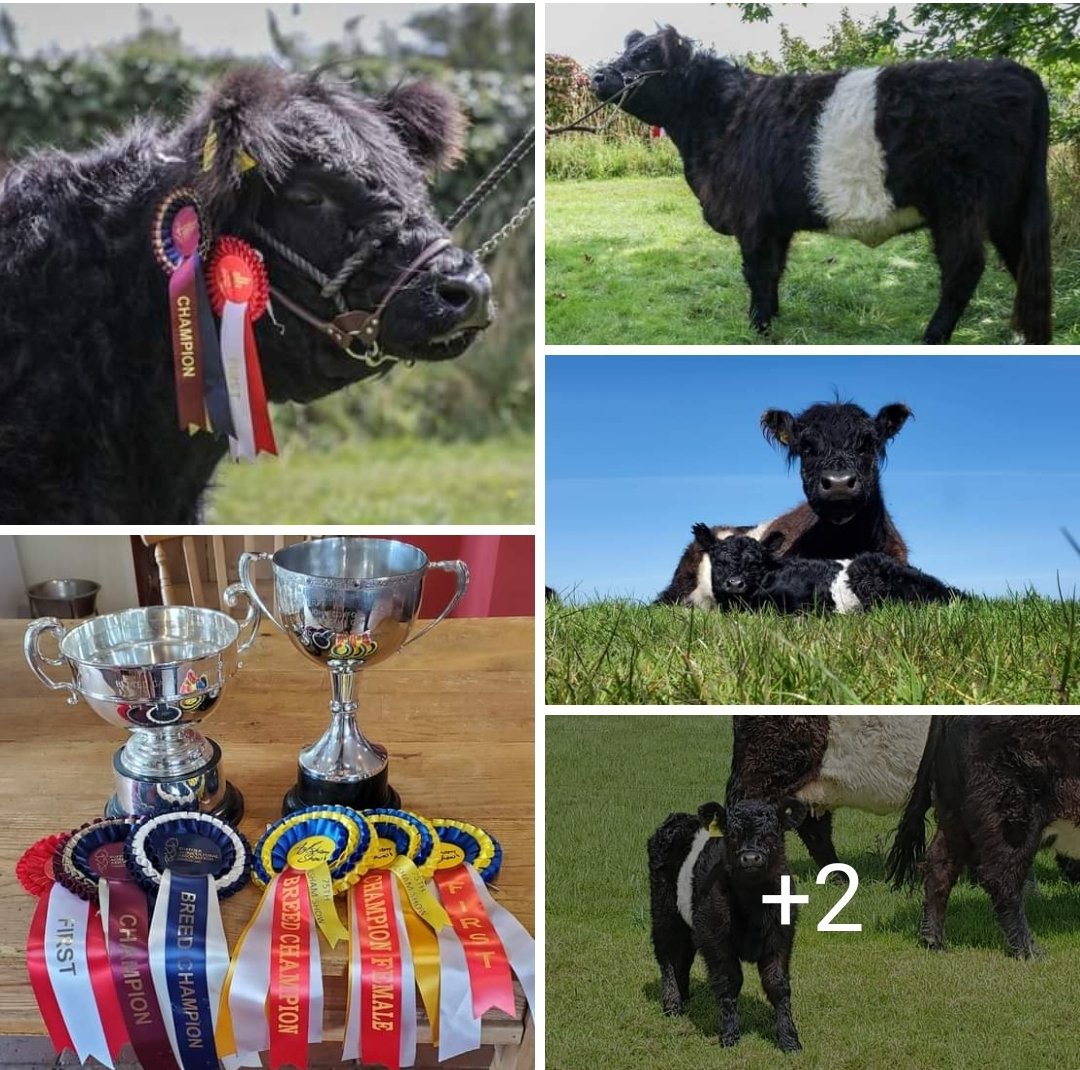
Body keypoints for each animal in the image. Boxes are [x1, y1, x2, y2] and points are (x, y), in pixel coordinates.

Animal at [596, 26, 1049, 343]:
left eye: (646, 55)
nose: (599, 75)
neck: (721, 117)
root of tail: (1010, 68)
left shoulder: (752, 216)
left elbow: (757, 272)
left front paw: (757, 329)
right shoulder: (774, 222)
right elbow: (773, 272)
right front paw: (771, 318)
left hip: (959, 204)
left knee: (963, 269)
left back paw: (932, 336)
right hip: (1007, 209)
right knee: (1021, 263)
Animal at [643, 798, 807, 1049]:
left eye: (771, 833)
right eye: (732, 835)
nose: (751, 858)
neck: (753, 903)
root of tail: (679, 817)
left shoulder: (780, 937)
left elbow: (777, 985)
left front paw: (789, 1040)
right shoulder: (716, 939)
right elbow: (730, 981)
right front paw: (729, 1035)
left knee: (684, 956)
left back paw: (685, 995)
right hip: (664, 911)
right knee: (667, 954)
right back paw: (673, 1005)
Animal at [885, 716, 1080, 958]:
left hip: (955, 813)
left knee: (939, 865)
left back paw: (934, 941)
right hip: (1011, 813)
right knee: (1002, 878)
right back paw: (1029, 951)